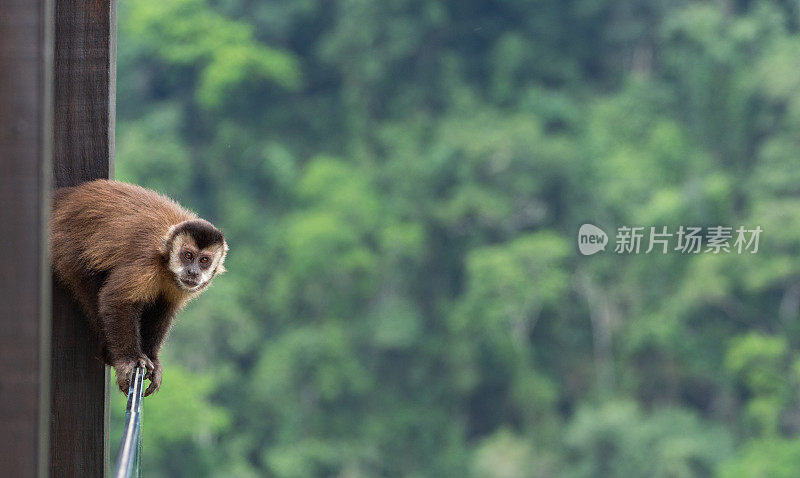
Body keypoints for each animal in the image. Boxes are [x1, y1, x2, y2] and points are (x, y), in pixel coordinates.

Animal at [51, 179, 228, 396]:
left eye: (204, 260)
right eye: (187, 255)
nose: (193, 272)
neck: (164, 261)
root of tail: (67, 197)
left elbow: (164, 308)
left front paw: (152, 358)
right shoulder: (146, 262)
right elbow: (116, 299)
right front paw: (129, 360)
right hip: (64, 247)